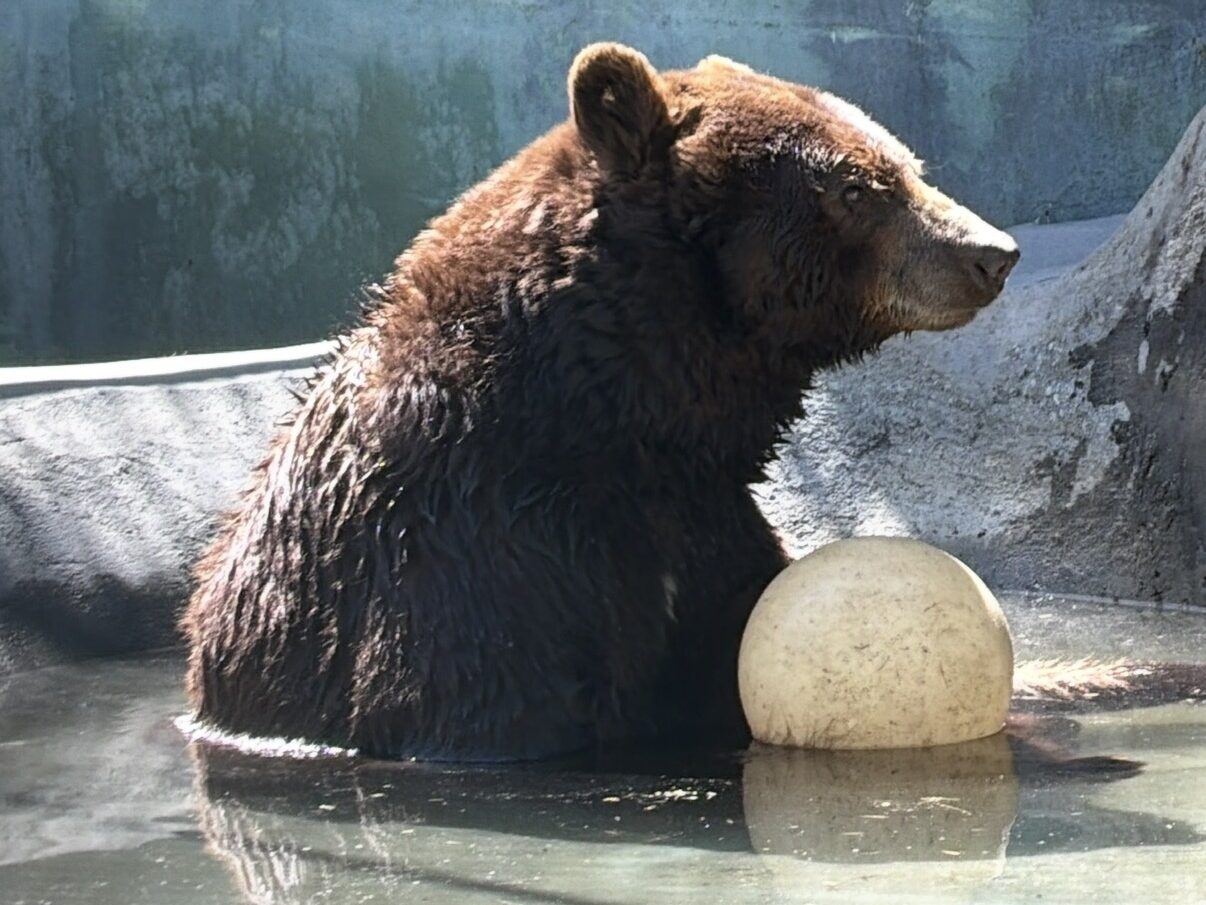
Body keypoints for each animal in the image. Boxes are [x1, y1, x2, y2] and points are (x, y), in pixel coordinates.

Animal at [182, 44, 1019, 761]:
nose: (992, 252)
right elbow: (502, 698)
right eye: (855, 187)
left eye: (905, 164)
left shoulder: (705, 528)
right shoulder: (469, 557)